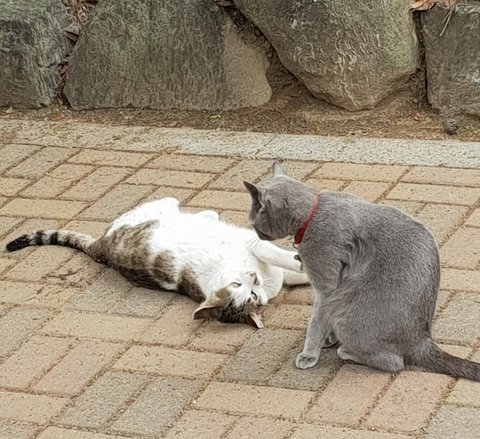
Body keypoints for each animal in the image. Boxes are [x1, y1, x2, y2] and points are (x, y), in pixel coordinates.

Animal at [5, 196, 308, 328]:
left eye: (251, 293)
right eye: (240, 287)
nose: (254, 279)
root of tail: (101, 247)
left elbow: (294, 272)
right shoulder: (254, 244)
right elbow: (281, 256)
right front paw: (300, 261)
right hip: (152, 210)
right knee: (172, 204)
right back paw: (203, 214)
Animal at [243, 162, 480, 381]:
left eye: (254, 220)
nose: (254, 232)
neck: (311, 216)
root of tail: (422, 340)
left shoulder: (326, 285)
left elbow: (316, 321)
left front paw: (309, 353)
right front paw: (326, 340)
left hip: (348, 319)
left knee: (395, 363)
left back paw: (346, 350)